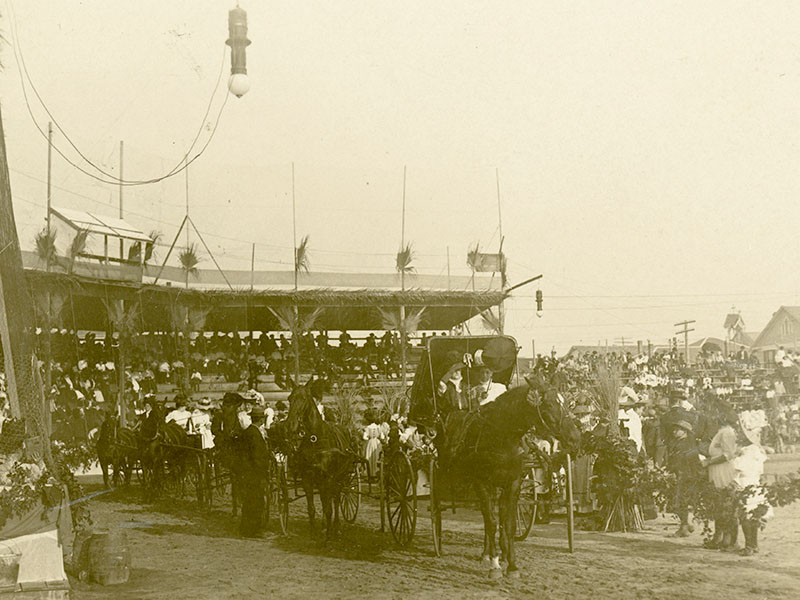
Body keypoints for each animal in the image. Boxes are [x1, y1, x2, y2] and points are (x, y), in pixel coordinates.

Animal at [282, 380, 354, 540]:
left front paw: (328, 535)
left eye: (303, 398)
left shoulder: (327, 479)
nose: (290, 425)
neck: (315, 438)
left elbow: (328, 509)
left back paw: (335, 527)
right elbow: (312, 508)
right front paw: (314, 533)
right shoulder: (308, 479)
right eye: (289, 398)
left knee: (336, 500)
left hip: (339, 479)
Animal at [432, 372, 580, 580]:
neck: (501, 435)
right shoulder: (482, 483)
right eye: (550, 405)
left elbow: (507, 524)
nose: (576, 437)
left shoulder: (513, 483)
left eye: (565, 402)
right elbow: (492, 522)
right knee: (482, 517)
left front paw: (511, 564)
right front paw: (495, 565)